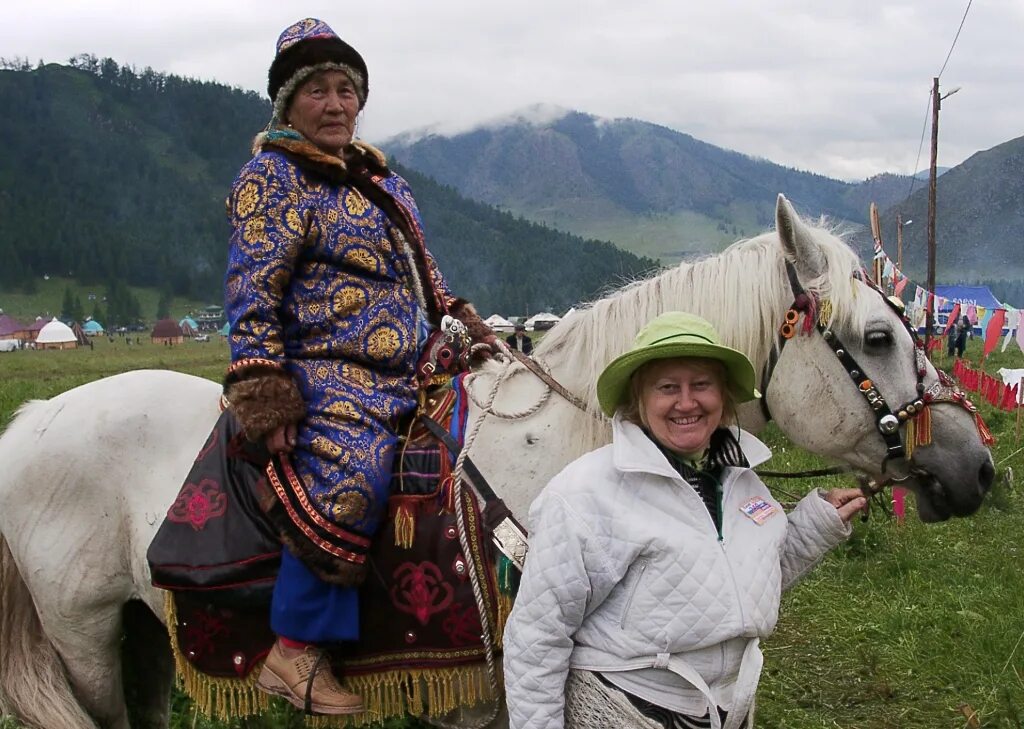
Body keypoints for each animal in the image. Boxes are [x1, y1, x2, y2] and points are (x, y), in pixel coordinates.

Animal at [0, 195, 991, 729]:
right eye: (877, 336)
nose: (976, 465)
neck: (564, 449)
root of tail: (35, 419)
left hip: (144, 633)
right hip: (84, 636)